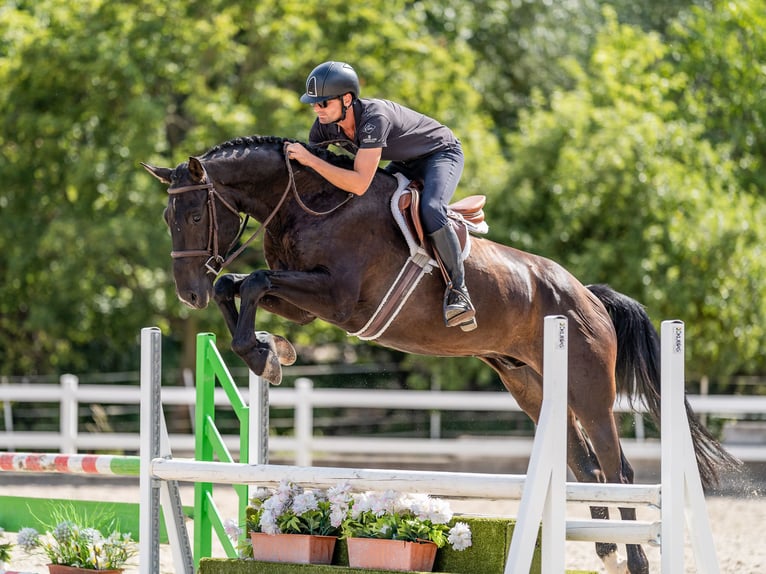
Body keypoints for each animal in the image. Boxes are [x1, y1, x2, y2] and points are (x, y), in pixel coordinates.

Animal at [142, 136, 736, 574]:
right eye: (168, 220)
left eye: (194, 216)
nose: (188, 295)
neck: (314, 203)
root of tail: (587, 295)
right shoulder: (305, 306)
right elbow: (239, 286)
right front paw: (271, 349)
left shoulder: (337, 301)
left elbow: (254, 281)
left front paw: (264, 355)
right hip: (533, 387)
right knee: (583, 466)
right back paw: (607, 550)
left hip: (589, 389)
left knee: (616, 468)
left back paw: (632, 559)